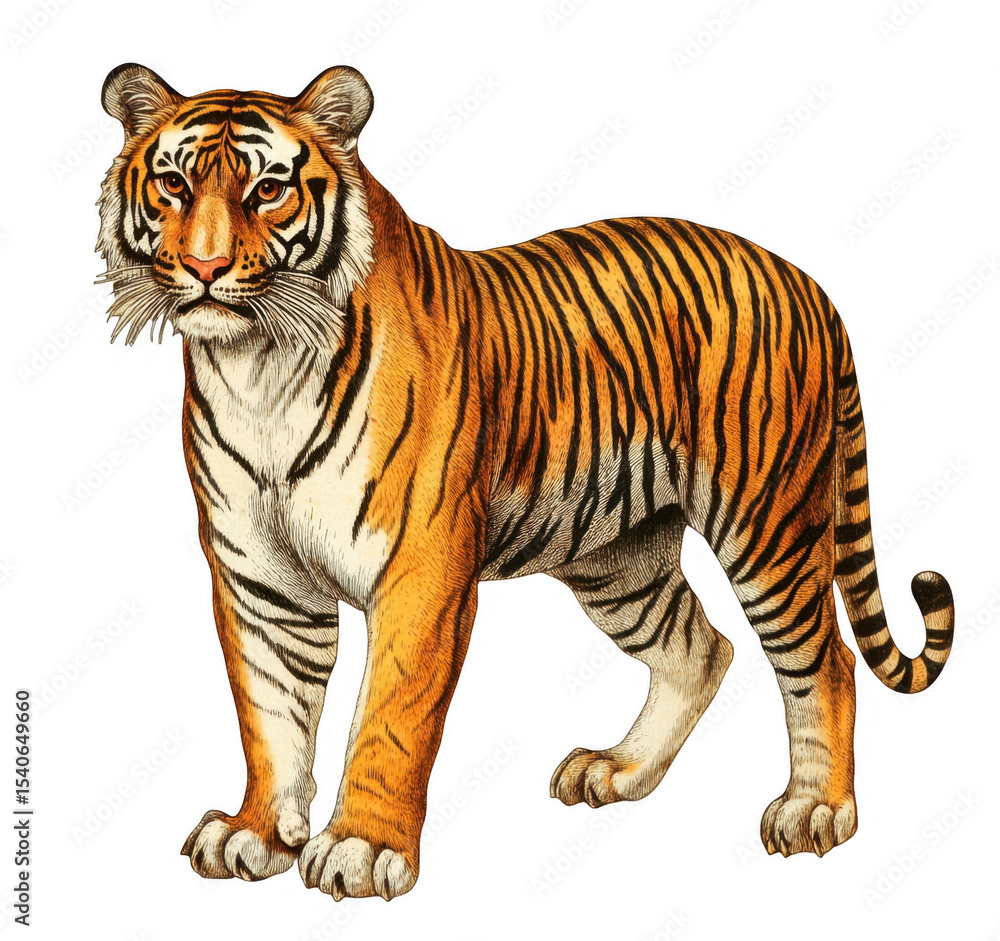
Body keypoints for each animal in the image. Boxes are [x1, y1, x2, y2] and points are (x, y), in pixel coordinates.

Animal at [97, 63, 955, 901]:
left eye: (268, 188)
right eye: (173, 184)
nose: (204, 268)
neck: (259, 370)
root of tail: (807, 282)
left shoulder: (420, 572)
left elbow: (389, 714)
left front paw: (361, 849)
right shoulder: (259, 578)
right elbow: (271, 713)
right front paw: (256, 832)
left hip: (767, 524)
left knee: (824, 661)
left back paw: (815, 809)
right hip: (617, 557)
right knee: (701, 648)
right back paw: (619, 769)